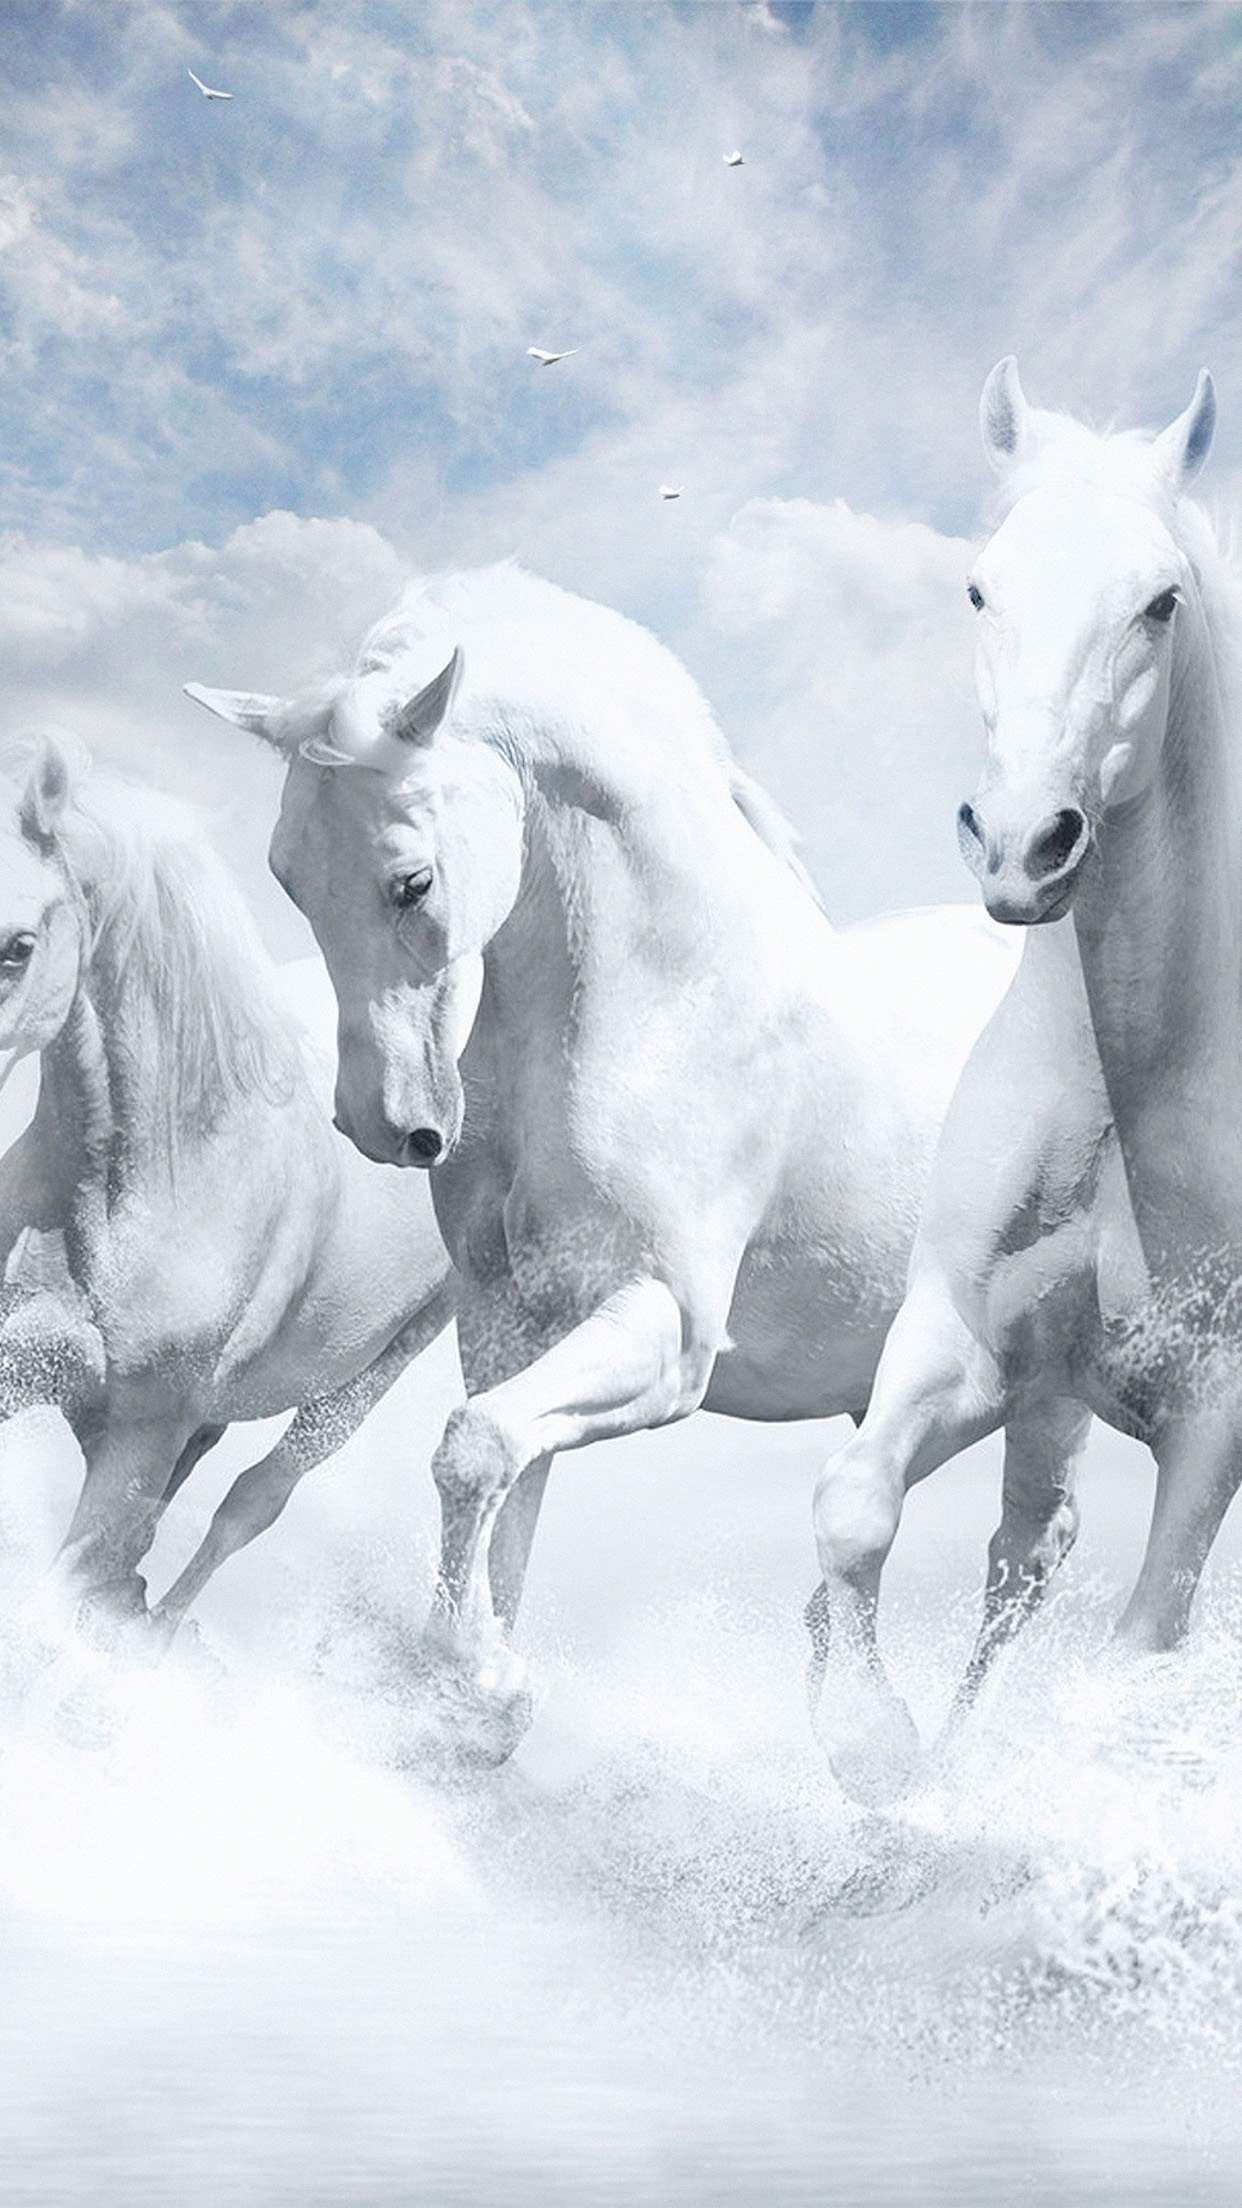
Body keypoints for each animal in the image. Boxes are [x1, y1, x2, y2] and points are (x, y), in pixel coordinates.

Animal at [186, 562, 1090, 1768]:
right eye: (288, 879)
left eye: (411, 882)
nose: (387, 1127)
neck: (660, 1006)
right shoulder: (512, 1322)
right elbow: (504, 1493)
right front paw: (476, 1698)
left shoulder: (666, 1331)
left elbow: (473, 1452)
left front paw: (484, 1684)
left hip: (1048, 1384)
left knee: (1026, 1555)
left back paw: (929, 1768)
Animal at [803, 361, 1242, 1801]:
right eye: (980, 589)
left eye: (1159, 602)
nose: (1019, 846)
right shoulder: (971, 1340)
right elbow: (853, 1505)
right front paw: (870, 1748)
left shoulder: (1211, 1418)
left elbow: (1142, 1649)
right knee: (1019, 1555)